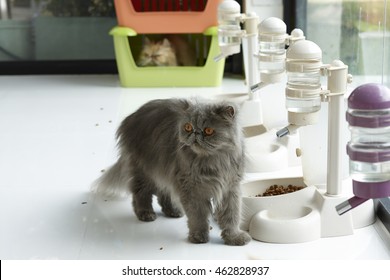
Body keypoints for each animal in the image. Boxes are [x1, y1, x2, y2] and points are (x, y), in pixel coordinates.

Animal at [96, 98, 251, 245]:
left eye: (208, 131)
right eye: (188, 127)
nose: (195, 132)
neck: (212, 162)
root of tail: (132, 116)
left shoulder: (230, 189)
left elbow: (232, 217)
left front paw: (234, 238)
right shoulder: (191, 188)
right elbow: (198, 216)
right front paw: (198, 237)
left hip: (165, 172)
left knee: (162, 193)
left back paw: (173, 211)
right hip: (144, 171)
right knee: (140, 194)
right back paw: (146, 213)